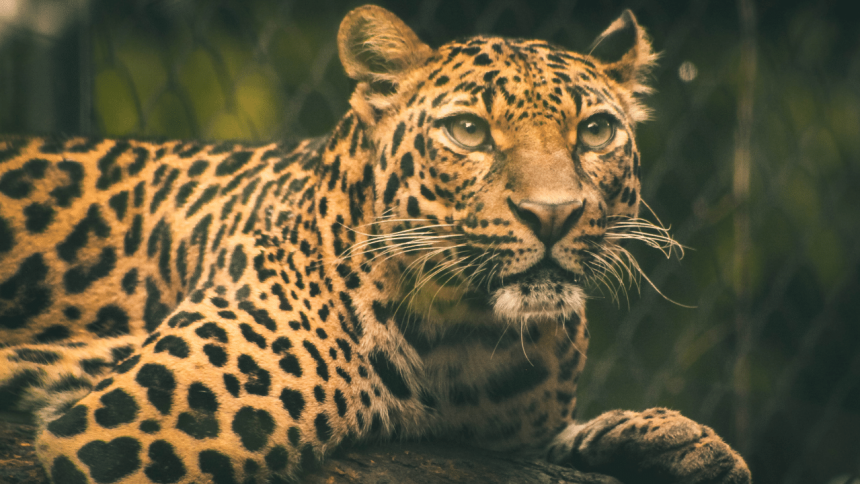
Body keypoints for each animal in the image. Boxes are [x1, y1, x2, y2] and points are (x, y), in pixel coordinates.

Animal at [0, 5, 751, 484]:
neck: (468, 343)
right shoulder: (128, 430)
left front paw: (672, 440)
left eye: (596, 131)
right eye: (468, 131)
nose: (553, 214)